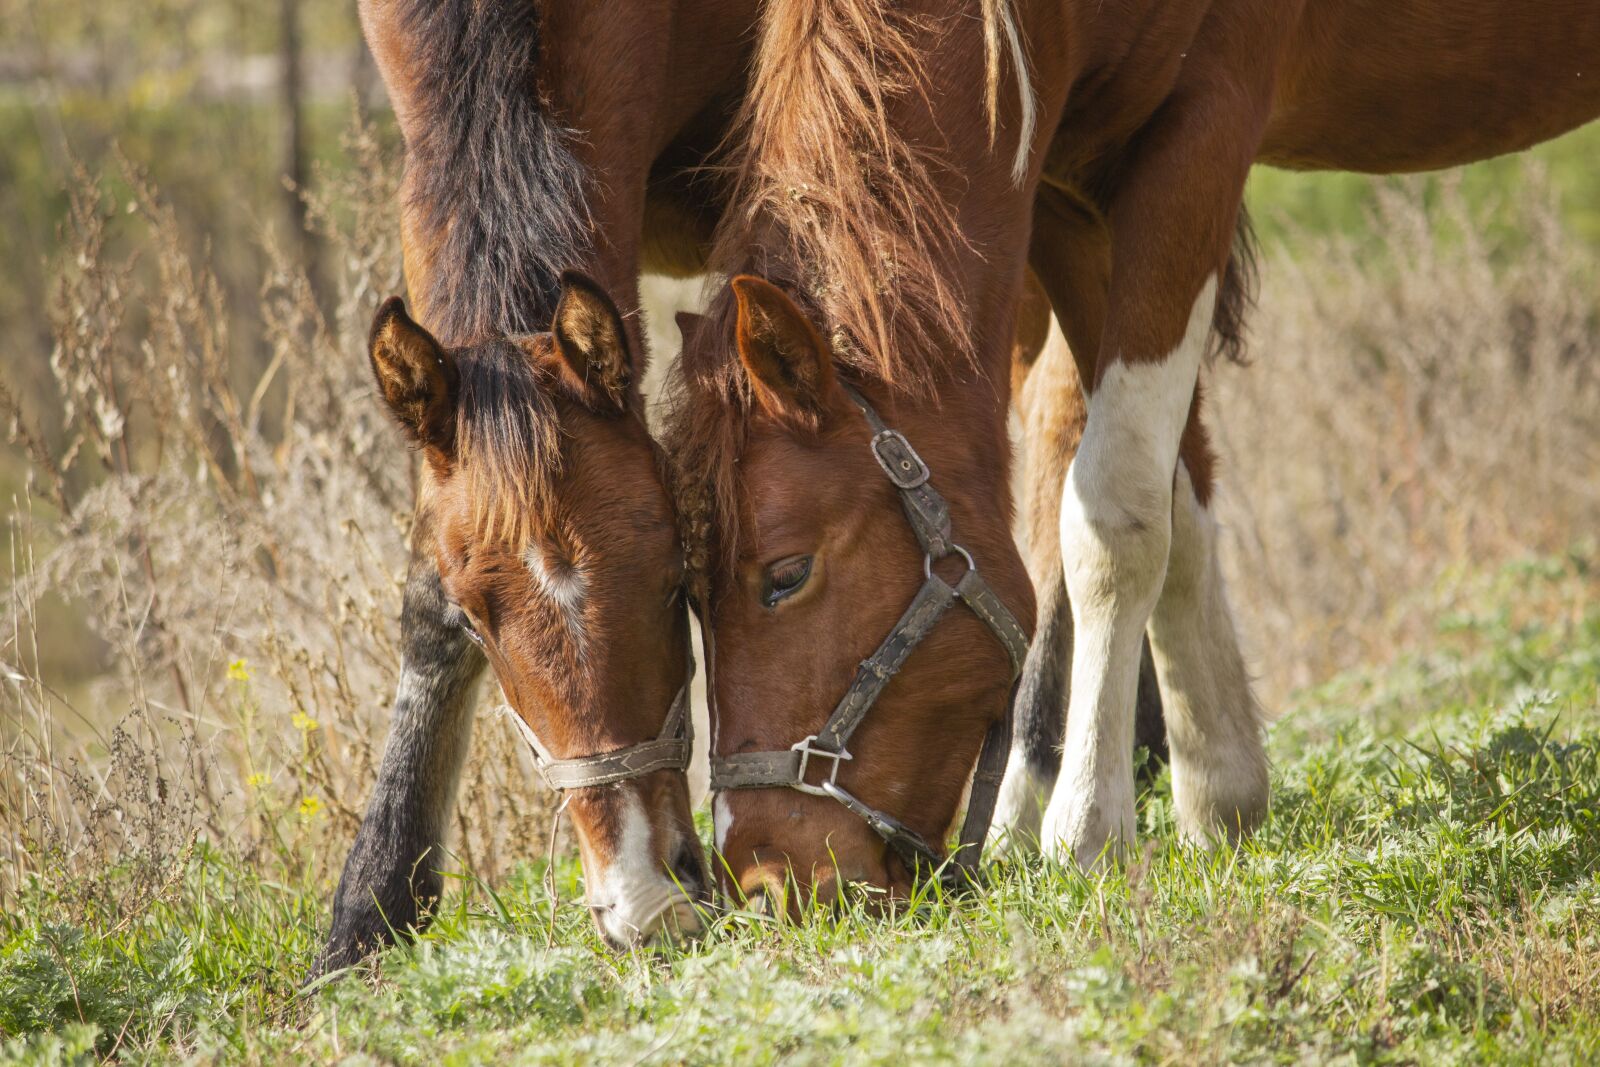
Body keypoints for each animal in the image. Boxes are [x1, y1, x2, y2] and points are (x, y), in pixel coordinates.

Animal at [668, 0, 1600, 904]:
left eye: (786, 575)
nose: (763, 879)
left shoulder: (1202, 136)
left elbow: (1112, 512)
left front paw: (1087, 824)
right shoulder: (1068, 194)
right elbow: (1174, 495)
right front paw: (1219, 787)